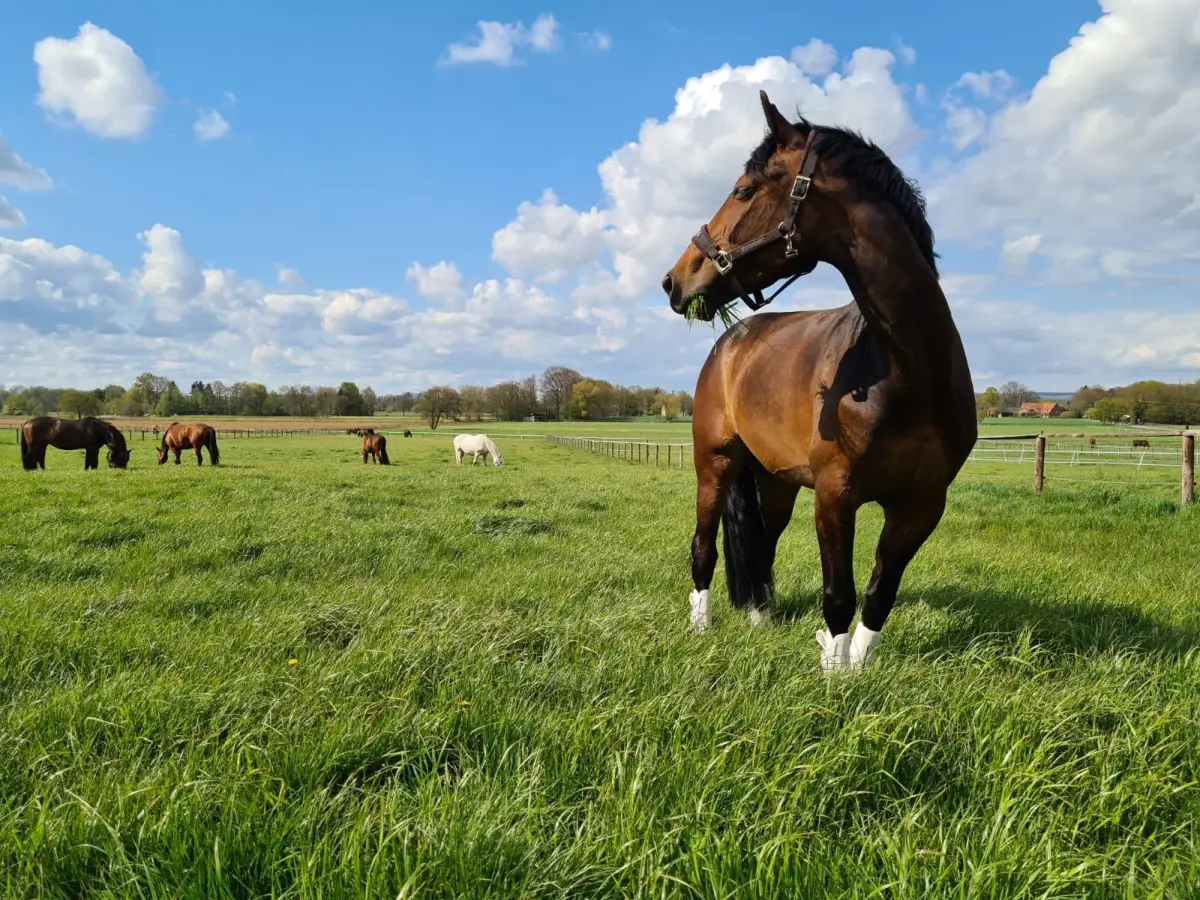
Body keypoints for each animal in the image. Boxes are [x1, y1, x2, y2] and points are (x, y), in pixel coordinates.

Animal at [661, 91, 977, 673]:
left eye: (744, 190)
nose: (676, 280)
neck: (905, 372)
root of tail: (728, 345)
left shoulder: (921, 507)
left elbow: (878, 593)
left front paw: (857, 665)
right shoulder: (834, 498)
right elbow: (839, 594)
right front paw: (833, 672)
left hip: (776, 481)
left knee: (762, 547)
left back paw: (759, 618)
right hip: (714, 465)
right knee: (703, 545)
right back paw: (701, 628)